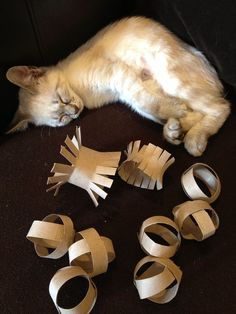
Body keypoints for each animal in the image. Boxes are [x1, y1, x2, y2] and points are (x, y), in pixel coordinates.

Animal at [6, 16, 230, 156]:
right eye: (62, 119)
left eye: (62, 98)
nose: (76, 111)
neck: (84, 97)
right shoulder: (126, 91)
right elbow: (150, 106)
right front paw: (176, 120)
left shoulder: (117, 76)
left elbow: (152, 104)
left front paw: (177, 116)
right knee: (198, 111)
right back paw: (175, 132)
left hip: (171, 79)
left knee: (221, 106)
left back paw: (194, 140)